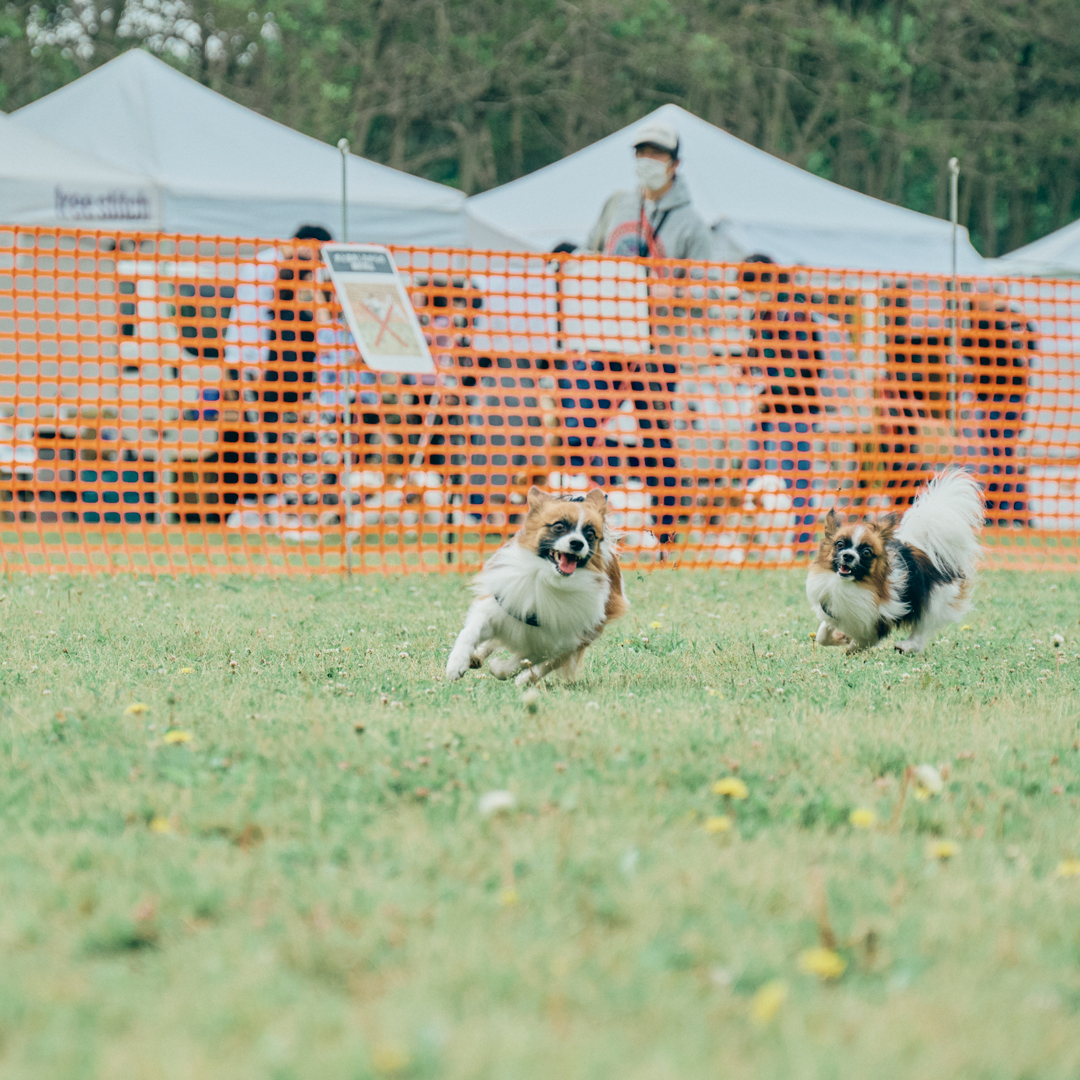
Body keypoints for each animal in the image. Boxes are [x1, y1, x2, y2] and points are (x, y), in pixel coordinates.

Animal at [444, 488, 630, 682]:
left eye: (590, 534)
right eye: (558, 527)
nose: (577, 543)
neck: (547, 576)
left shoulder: (560, 641)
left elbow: (525, 661)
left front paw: (502, 669)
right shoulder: (499, 608)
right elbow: (470, 632)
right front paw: (457, 664)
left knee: (549, 663)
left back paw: (526, 679)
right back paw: (477, 656)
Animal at [807, 468, 984, 652]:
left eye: (866, 552)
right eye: (840, 544)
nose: (848, 555)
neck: (850, 584)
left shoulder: (876, 624)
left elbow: (862, 641)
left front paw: (850, 645)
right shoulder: (835, 614)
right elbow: (822, 635)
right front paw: (841, 638)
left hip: (936, 601)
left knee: (922, 629)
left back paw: (907, 645)